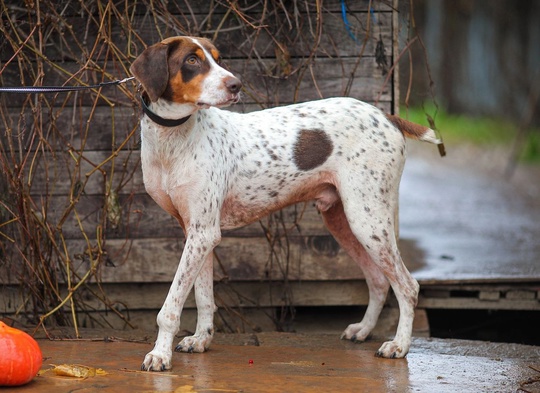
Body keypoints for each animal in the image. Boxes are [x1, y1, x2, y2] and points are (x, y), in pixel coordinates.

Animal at [131, 35, 442, 370]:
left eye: (217, 57)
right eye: (191, 60)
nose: (236, 85)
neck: (172, 139)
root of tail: (387, 116)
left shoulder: (203, 233)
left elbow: (171, 306)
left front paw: (160, 354)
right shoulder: (197, 232)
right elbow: (203, 296)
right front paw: (201, 339)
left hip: (367, 220)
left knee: (408, 286)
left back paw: (399, 345)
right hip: (344, 220)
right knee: (378, 280)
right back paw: (363, 330)